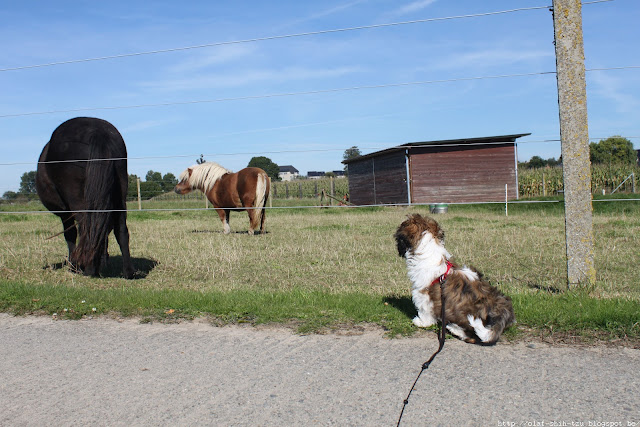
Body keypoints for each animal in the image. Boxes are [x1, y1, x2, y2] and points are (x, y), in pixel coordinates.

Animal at [35, 117, 134, 280]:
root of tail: (98, 131)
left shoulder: (65, 213)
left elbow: (70, 235)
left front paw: (74, 266)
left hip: (78, 202)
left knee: (87, 229)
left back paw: (88, 270)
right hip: (120, 196)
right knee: (120, 230)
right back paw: (127, 272)